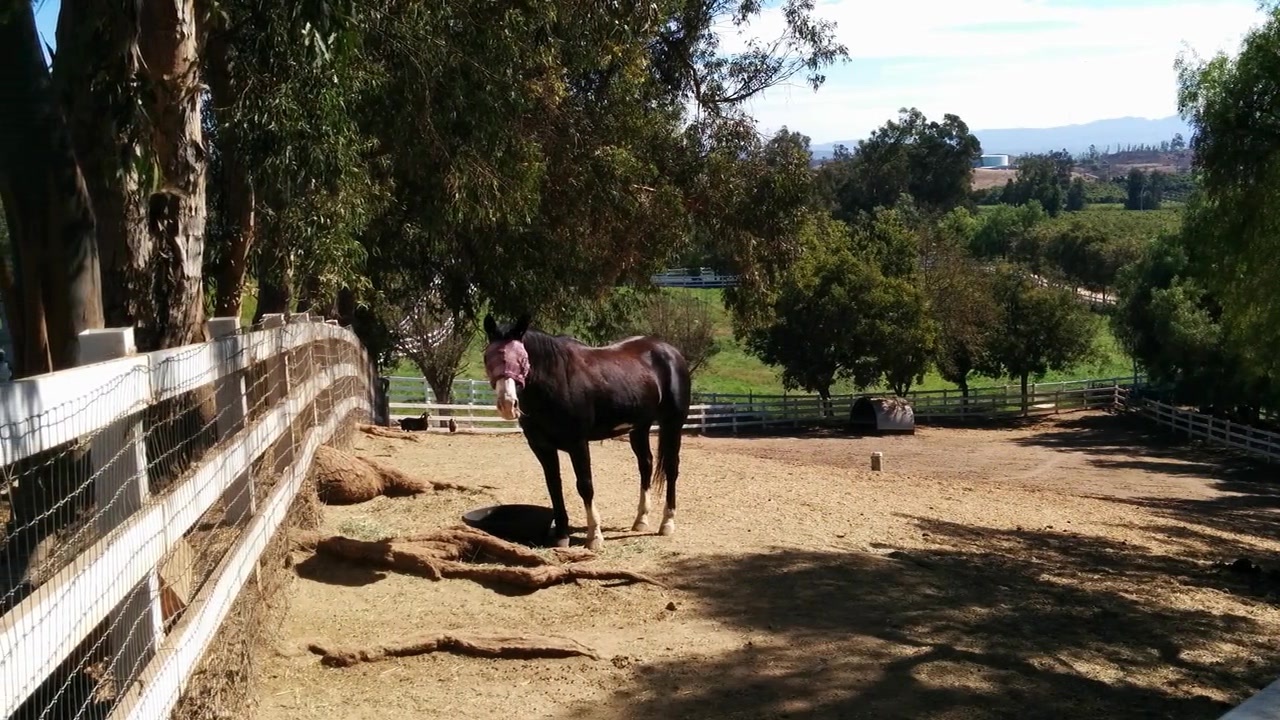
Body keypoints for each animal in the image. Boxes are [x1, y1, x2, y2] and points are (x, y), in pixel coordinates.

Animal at [483, 311, 696, 545]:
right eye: (488, 358)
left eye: (522, 359)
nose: (507, 404)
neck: (556, 379)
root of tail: (671, 351)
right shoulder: (542, 447)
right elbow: (553, 485)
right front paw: (561, 535)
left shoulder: (578, 444)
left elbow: (585, 485)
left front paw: (594, 536)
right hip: (640, 427)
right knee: (646, 465)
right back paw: (641, 520)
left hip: (673, 423)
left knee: (671, 468)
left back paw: (667, 523)